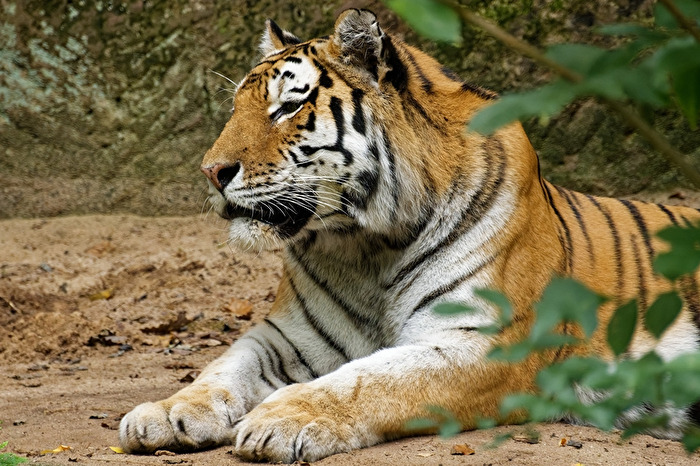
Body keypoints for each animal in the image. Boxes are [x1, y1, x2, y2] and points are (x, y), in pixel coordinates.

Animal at [119, 9, 700, 462]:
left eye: (288, 107)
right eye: (236, 107)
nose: (210, 171)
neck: (363, 244)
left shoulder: (482, 342)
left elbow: (370, 379)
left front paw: (282, 419)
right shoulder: (288, 336)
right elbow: (224, 366)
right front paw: (166, 412)